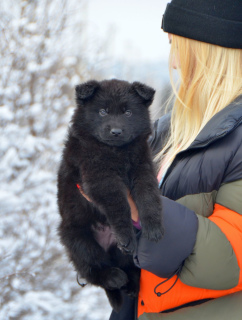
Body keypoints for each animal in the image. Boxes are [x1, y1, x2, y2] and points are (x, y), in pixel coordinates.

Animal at [57, 79, 163, 312]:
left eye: (128, 113)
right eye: (103, 111)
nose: (115, 131)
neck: (117, 152)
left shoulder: (142, 167)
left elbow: (149, 195)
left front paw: (154, 226)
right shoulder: (100, 177)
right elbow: (119, 205)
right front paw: (125, 234)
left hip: (120, 255)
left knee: (127, 265)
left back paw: (132, 284)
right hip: (76, 237)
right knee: (92, 267)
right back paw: (114, 277)